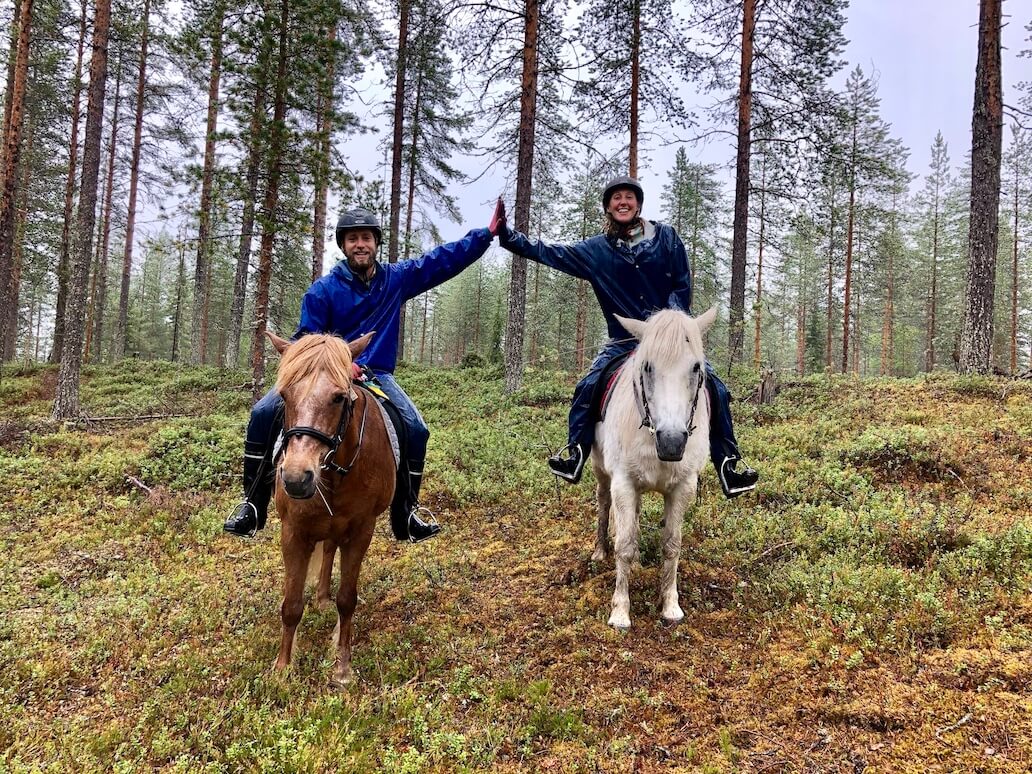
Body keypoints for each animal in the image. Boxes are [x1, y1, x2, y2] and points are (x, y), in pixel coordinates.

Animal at [266, 330, 394, 689]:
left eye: (339, 398)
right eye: (284, 395)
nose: (296, 478)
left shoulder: (362, 528)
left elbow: (347, 599)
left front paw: (342, 666)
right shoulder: (293, 531)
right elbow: (291, 605)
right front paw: (282, 670)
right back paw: (322, 598)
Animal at [594, 307, 714, 631]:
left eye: (696, 367)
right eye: (647, 366)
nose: (672, 441)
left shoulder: (682, 487)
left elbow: (672, 545)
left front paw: (670, 607)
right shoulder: (623, 482)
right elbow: (624, 544)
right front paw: (620, 613)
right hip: (601, 471)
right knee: (604, 504)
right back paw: (599, 551)